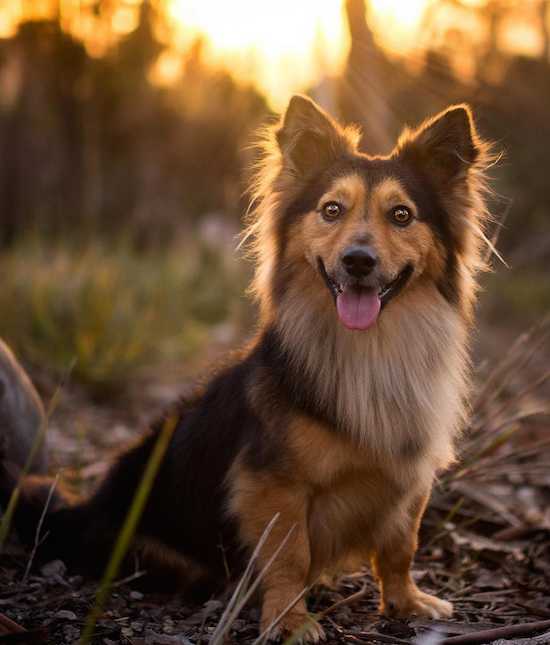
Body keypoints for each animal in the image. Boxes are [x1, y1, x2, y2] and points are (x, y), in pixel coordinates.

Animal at [0, 95, 492, 642]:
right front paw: (290, 619)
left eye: (402, 215)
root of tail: (83, 512)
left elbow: (401, 543)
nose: (358, 260)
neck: (371, 348)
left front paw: (406, 601)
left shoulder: (410, 474)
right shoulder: (272, 484)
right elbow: (289, 555)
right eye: (331, 210)